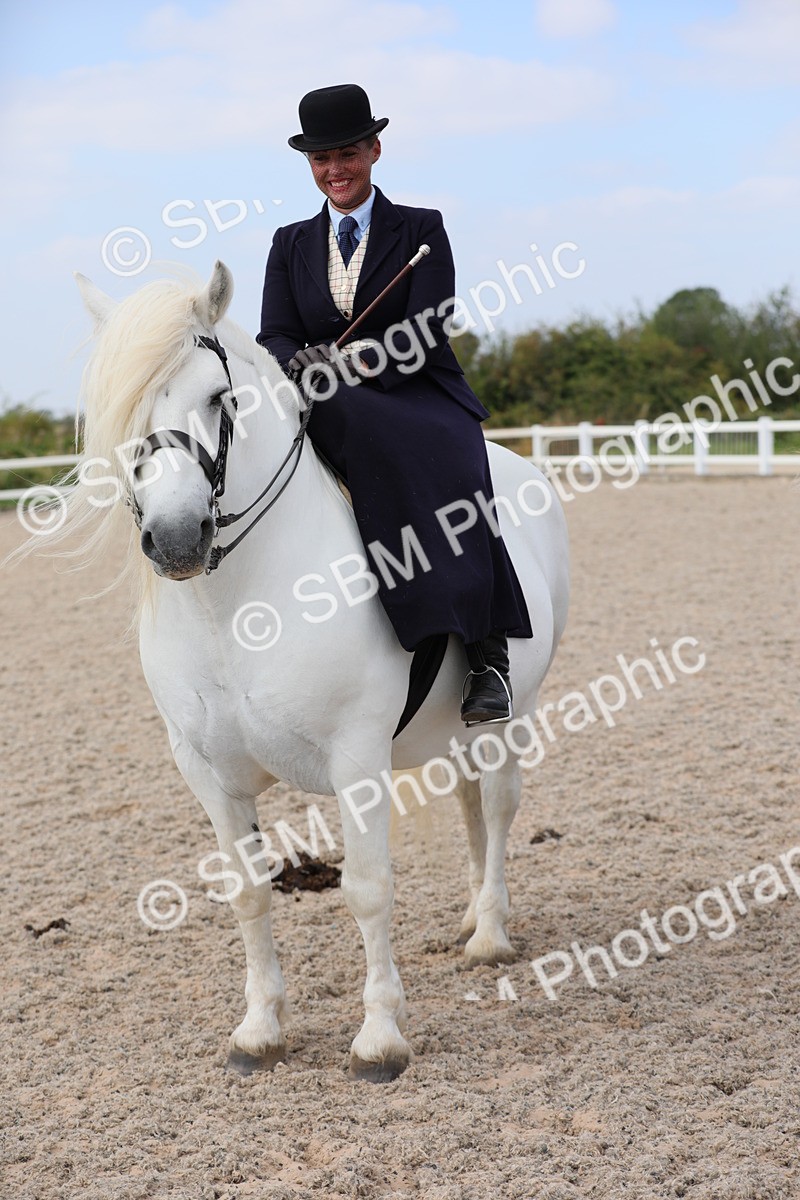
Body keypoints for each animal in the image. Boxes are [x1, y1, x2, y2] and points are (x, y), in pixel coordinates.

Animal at [60, 260, 569, 1081]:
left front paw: (380, 1038)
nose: (175, 539)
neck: (233, 607)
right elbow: (248, 894)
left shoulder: (356, 759)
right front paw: (260, 1030)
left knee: (495, 805)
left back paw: (491, 932)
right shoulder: (205, 770)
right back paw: (470, 917)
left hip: (508, 716)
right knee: (469, 805)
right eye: (125, 408)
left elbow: (366, 891)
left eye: (220, 396)